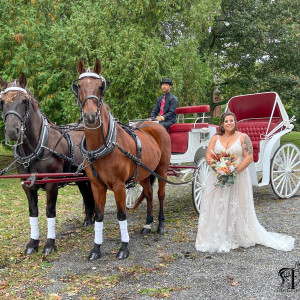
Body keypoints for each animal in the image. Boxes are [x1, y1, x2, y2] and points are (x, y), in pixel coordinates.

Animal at [0, 72, 95, 255]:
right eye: (2, 102)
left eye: (24, 101)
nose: (12, 131)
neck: (38, 146)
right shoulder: (27, 185)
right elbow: (33, 212)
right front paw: (33, 243)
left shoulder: (52, 184)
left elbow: (50, 212)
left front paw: (50, 244)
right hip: (80, 176)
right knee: (86, 195)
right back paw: (88, 219)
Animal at [71, 58, 171, 260]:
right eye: (79, 86)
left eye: (100, 86)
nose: (90, 116)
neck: (102, 148)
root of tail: (156, 124)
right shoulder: (97, 186)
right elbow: (99, 215)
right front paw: (96, 248)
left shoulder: (118, 186)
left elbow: (121, 214)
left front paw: (124, 247)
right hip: (144, 173)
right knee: (149, 194)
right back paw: (147, 224)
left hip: (162, 169)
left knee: (160, 195)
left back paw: (160, 224)